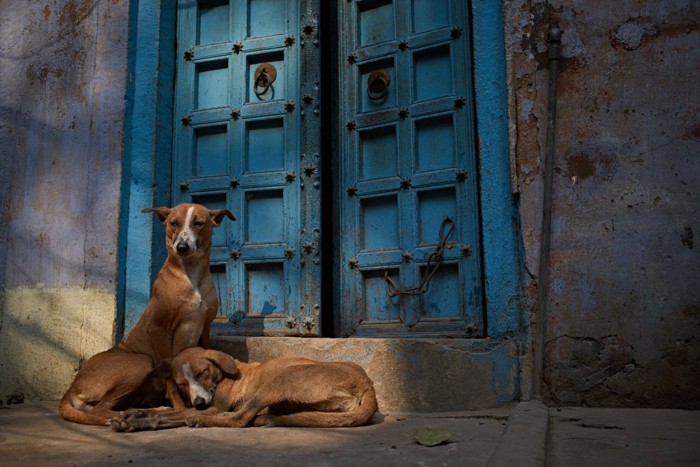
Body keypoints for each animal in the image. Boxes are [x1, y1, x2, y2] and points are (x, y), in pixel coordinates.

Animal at [110, 348, 378, 432]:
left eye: (201, 373)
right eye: (183, 384)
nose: (199, 403)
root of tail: (367, 383)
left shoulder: (214, 405)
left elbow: (172, 415)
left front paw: (137, 420)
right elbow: (166, 411)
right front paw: (135, 413)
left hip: (281, 379)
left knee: (239, 419)